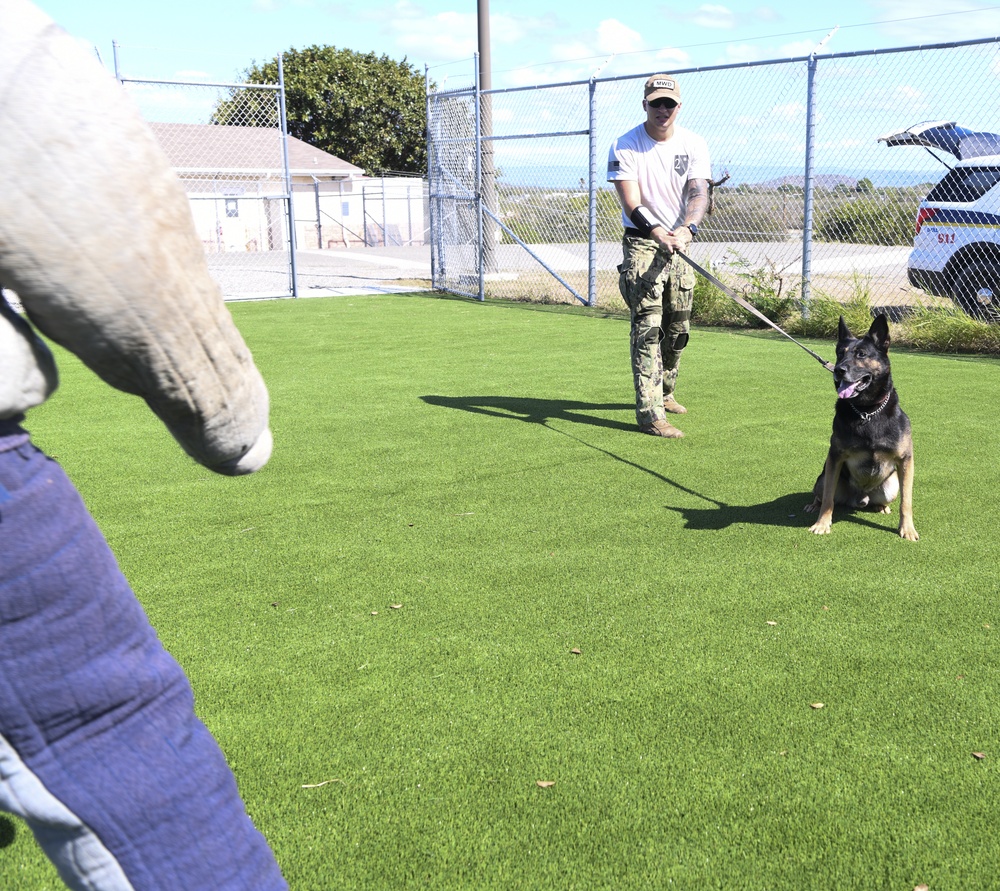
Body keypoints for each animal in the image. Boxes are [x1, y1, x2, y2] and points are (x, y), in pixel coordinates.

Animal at [808, 318, 916, 540]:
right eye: (840, 353)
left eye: (861, 354)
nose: (838, 370)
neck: (868, 411)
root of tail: (859, 499)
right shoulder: (835, 458)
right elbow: (828, 499)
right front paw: (822, 524)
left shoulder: (906, 460)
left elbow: (906, 502)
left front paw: (907, 528)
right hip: (823, 477)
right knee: (822, 494)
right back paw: (813, 505)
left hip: (891, 485)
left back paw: (881, 507)